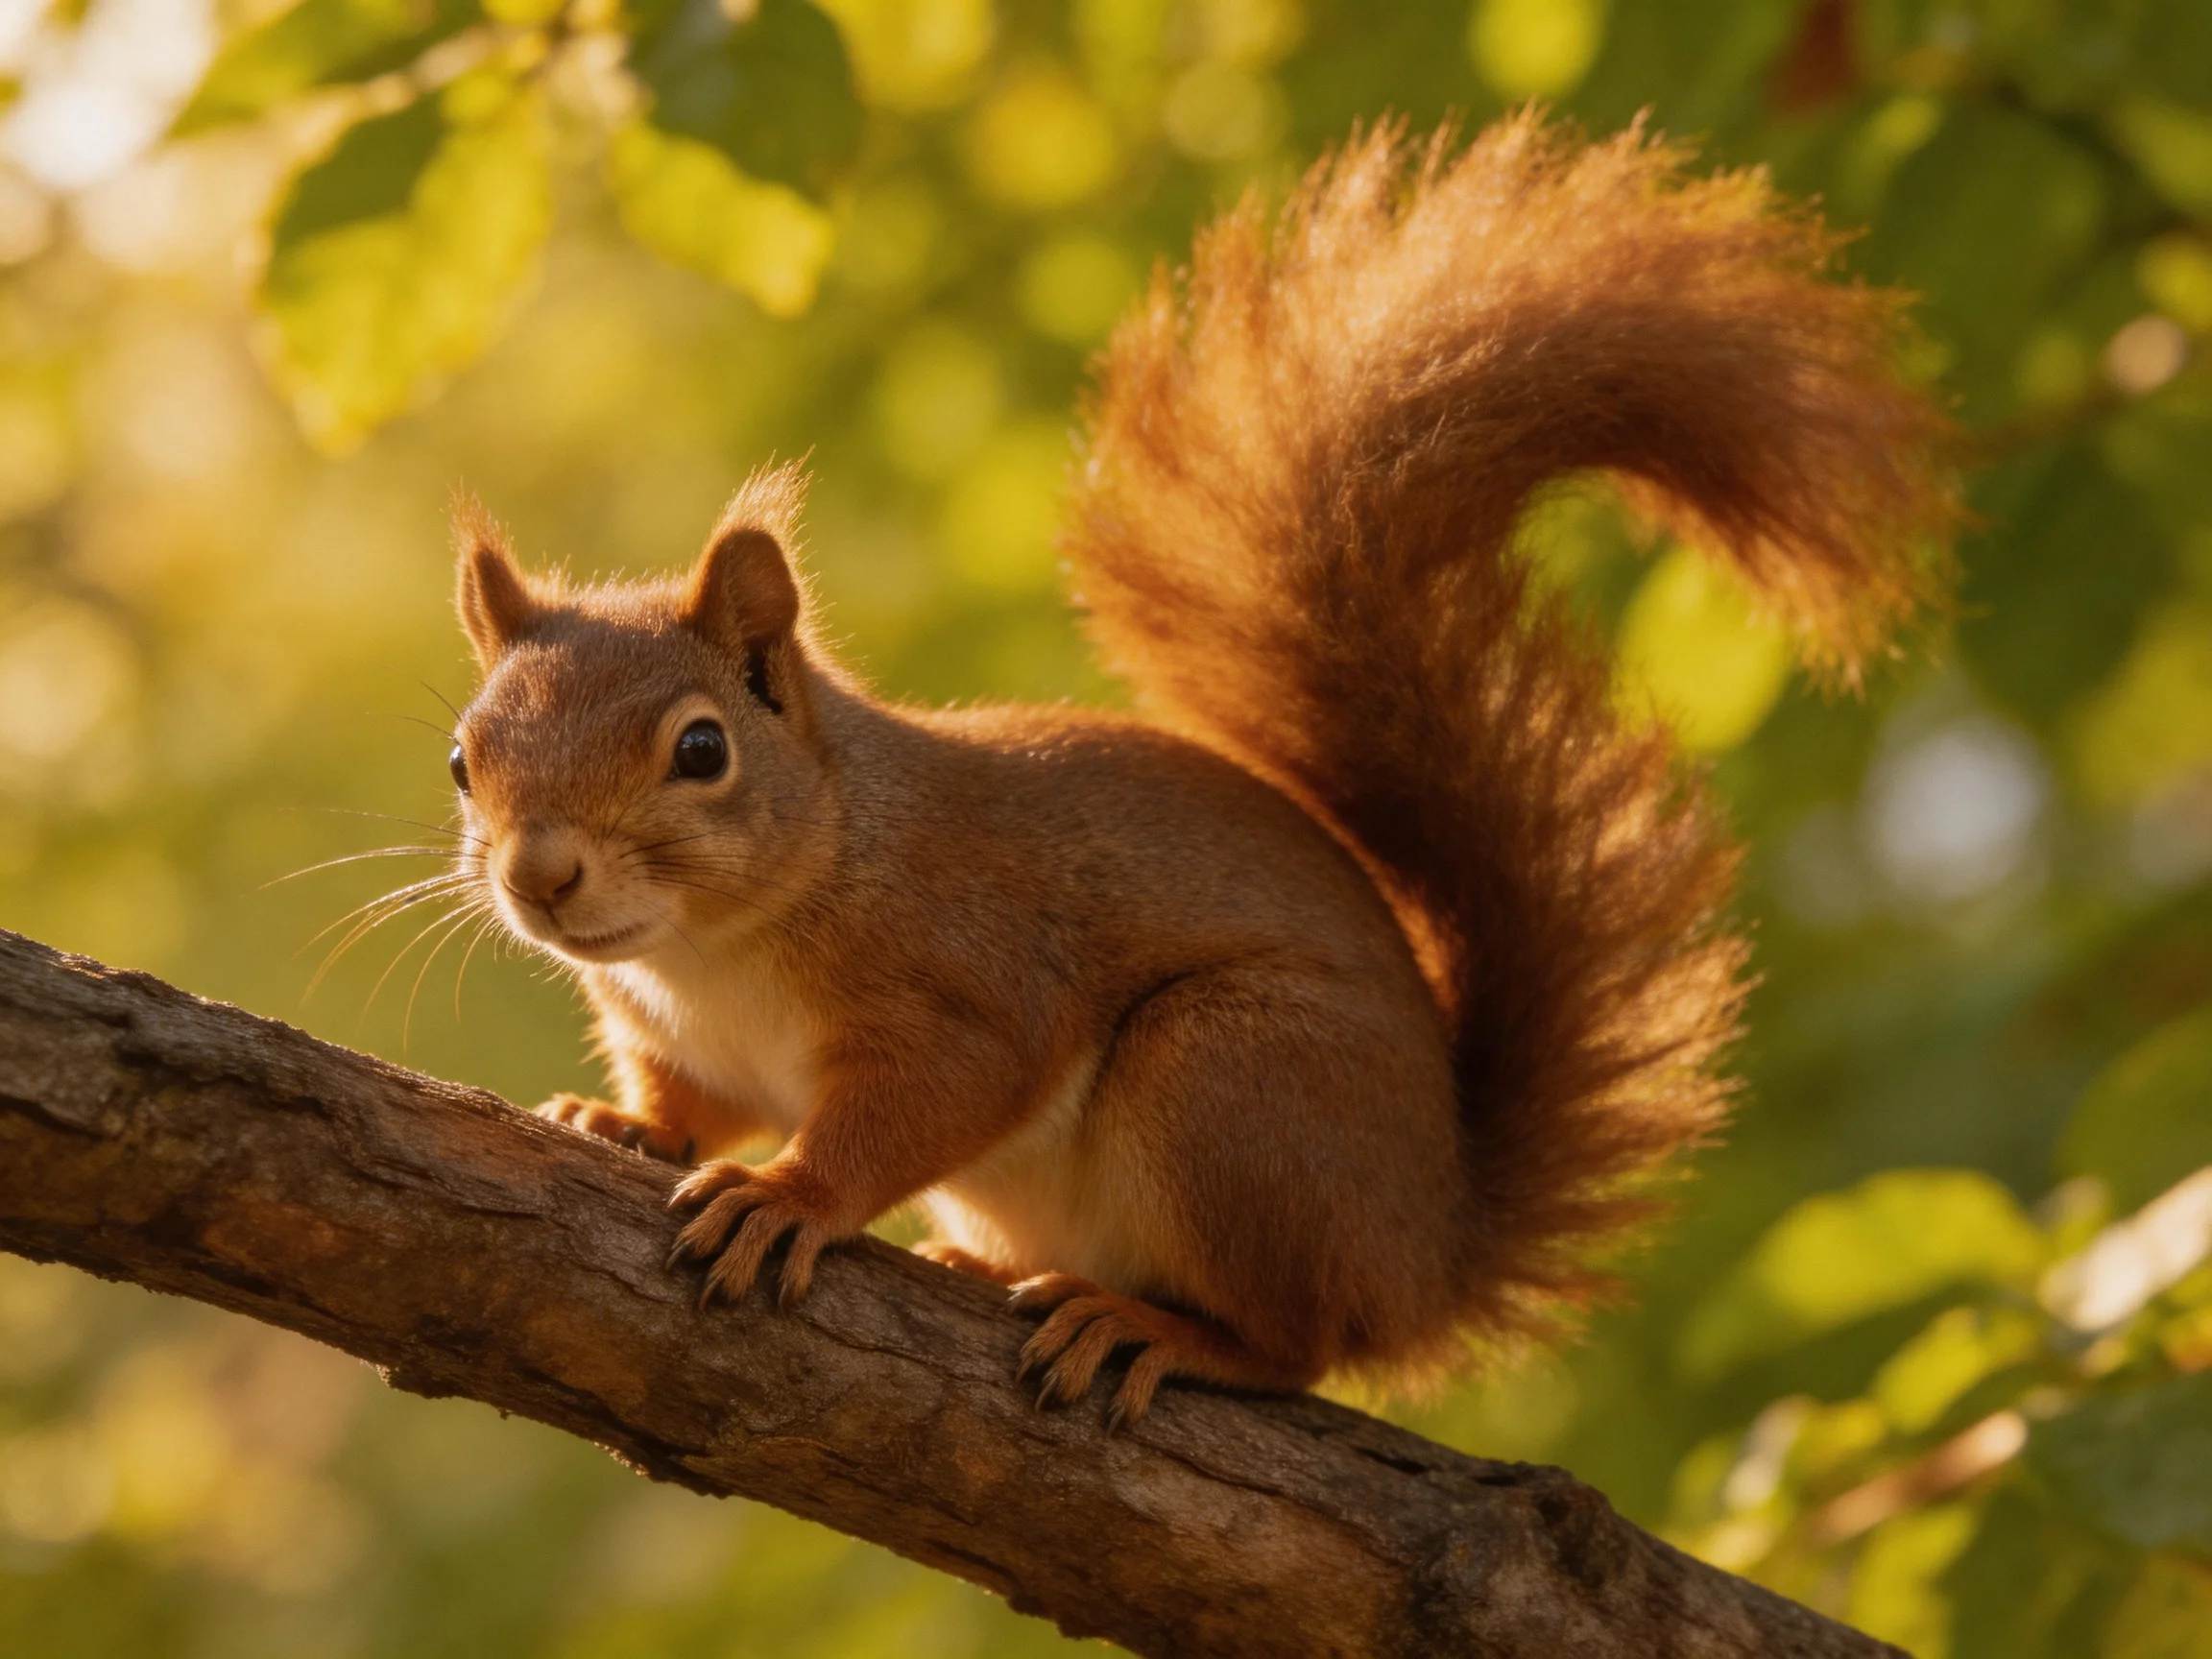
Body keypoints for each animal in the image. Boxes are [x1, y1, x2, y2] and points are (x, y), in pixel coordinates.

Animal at [444, 112, 1955, 1427]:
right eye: (464, 758)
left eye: (701, 749)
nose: (540, 875)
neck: (721, 941)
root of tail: (1429, 1250)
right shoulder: (687, 1041)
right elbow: (694, 1104)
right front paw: (620, 1123)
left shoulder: (968, 977)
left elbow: (916, 1106)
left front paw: (789, 1197)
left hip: (1228, 1084)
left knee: (1294, 1346)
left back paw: (1148, 1327)